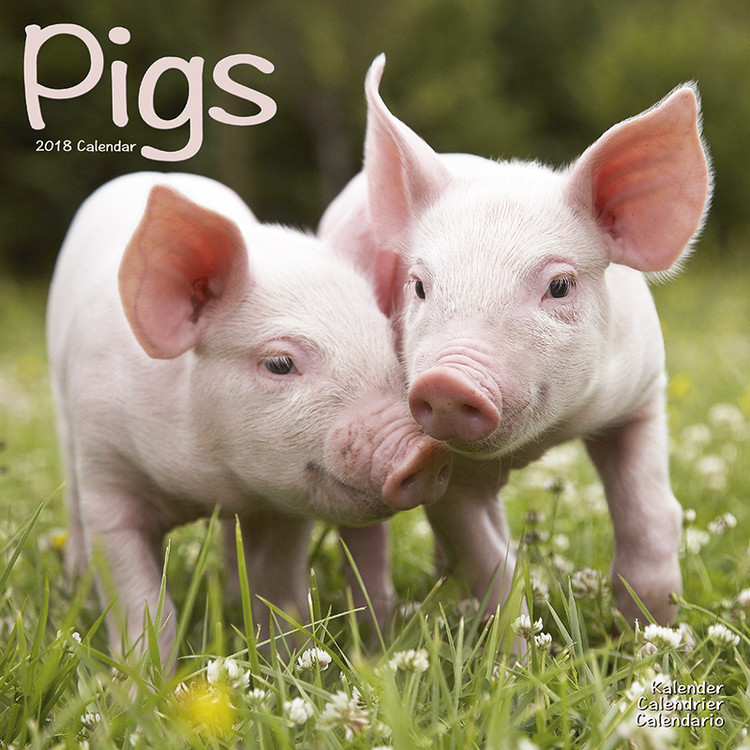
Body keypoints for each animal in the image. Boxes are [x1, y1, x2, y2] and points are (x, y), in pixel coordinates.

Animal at [47, 171, 452, 664]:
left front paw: (289, 660)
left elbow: (275, 585)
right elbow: (138, 598)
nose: (425, 451)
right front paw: (142, 680)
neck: (206, 487)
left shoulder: (287, 504)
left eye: (388, 346)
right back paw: (73, 581)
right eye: (279, 363)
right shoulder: (107, 472)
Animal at [319, 55, 713, 626]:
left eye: (560, 285)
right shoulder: (439, 464)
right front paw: (512, 646)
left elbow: (651, 514)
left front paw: (653, 630)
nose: (446, 380)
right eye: (418, 286)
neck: (543, 439)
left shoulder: (642, 395)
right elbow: (490, 563)